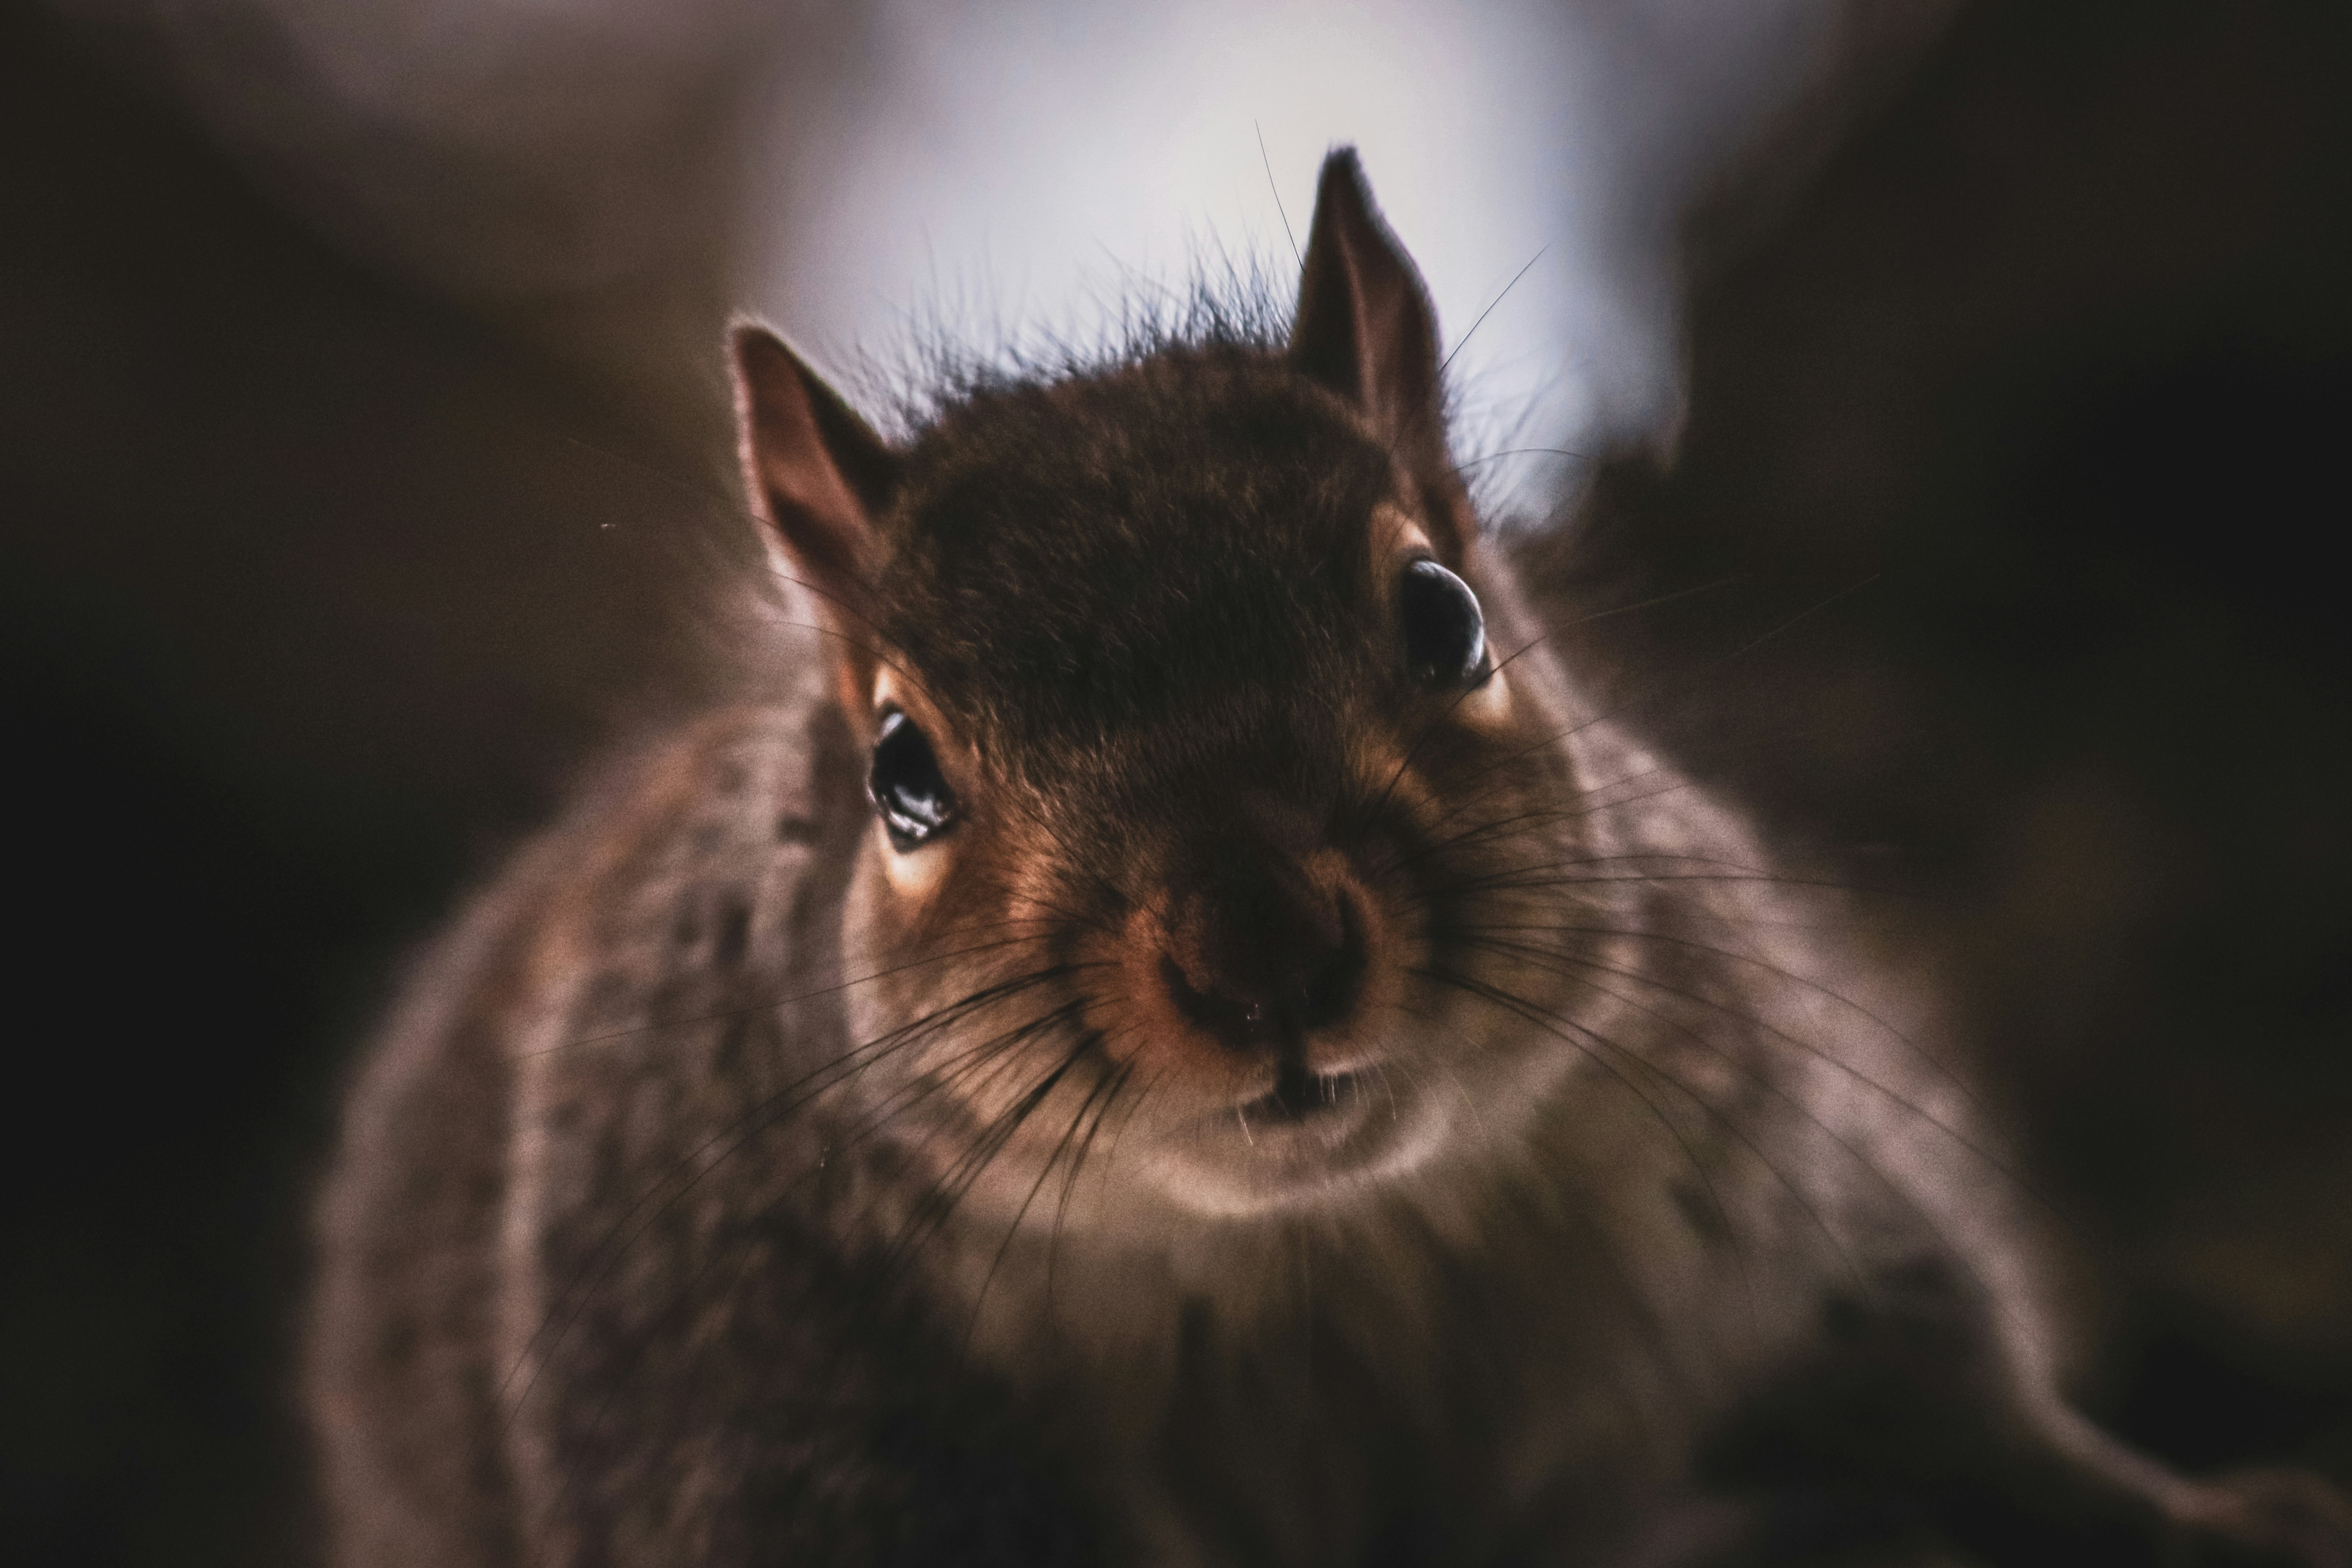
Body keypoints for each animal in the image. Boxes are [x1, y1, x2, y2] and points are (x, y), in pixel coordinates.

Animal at [304, 149, 2352, 1568]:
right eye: (901, 776)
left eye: (1446, 613)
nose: (1260, 953)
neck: (1308, 1254)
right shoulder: (761, 1414)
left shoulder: (1779, 1200)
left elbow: (1950, 1398)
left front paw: (2185, 1512)